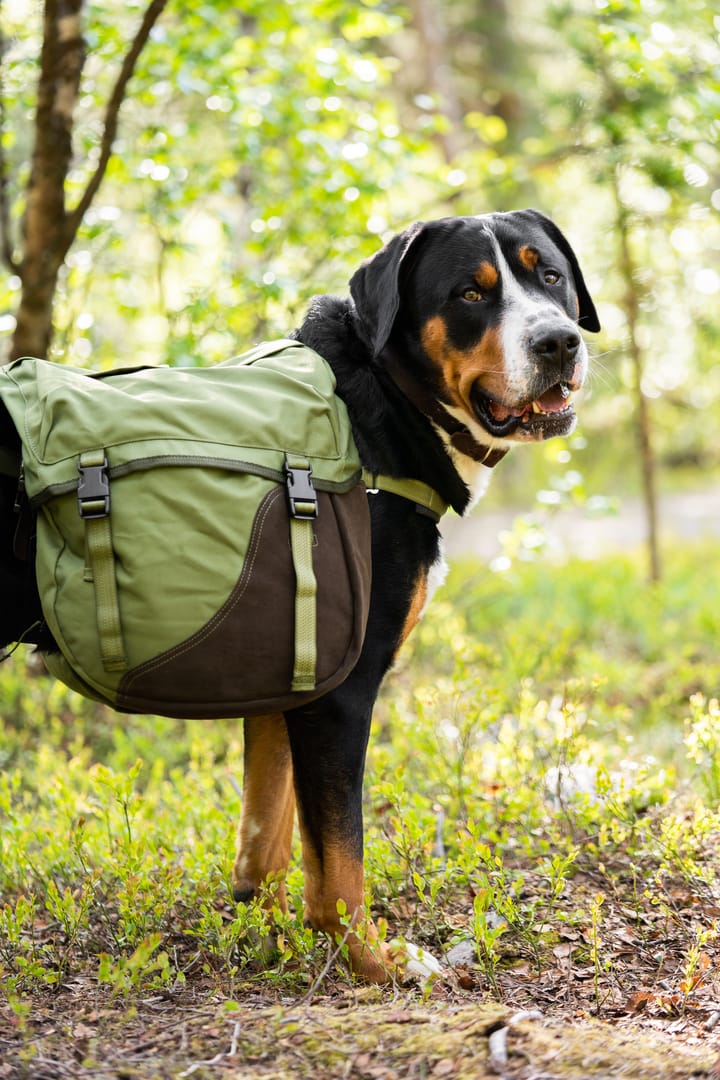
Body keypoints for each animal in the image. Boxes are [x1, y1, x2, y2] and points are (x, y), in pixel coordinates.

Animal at [0, 206, 595, 984]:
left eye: (549, 275)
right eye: (471, 293)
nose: (558, 342)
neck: (376, 413)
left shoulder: (287, 673)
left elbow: (267, 839)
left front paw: (274, 934)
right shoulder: (342, 689)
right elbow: (339, 863)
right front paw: (374, 962)